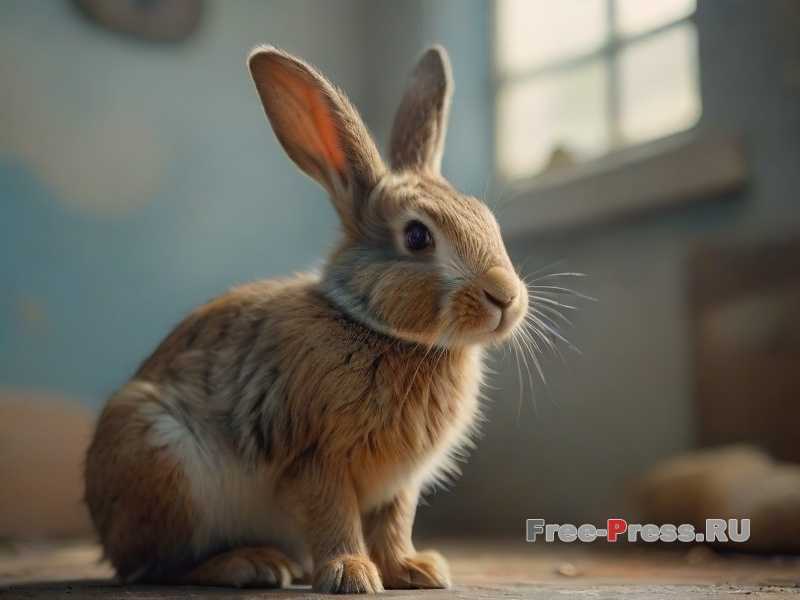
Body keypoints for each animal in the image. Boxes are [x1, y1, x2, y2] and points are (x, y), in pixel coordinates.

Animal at [84, 44, 529, 594]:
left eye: (487, 219)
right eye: (418, 237)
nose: (506, 297)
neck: (374, 327)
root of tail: (107, 535)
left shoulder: (398, 486)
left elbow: (394, 524)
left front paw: (415, 570)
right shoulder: (315, 458)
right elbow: (333, 516)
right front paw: (352, 575)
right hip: (166, 465)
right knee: (160, 566)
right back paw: (253, 565)